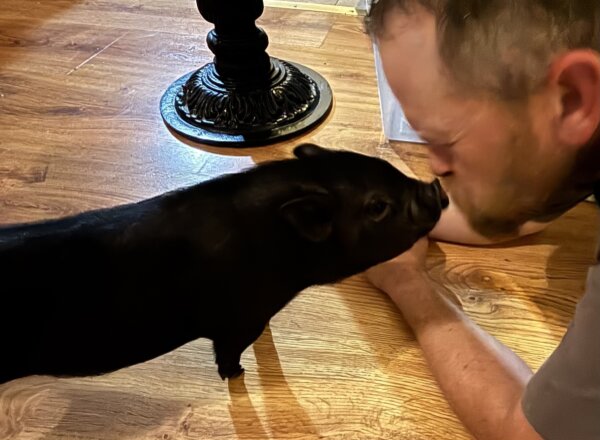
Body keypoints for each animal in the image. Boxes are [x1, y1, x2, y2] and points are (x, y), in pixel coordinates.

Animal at [0, 144, 448, 384]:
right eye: (377, 207)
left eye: (388, 168)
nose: (437, 189)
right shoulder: (237, 322)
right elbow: (230, 352)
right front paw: (237, 375)